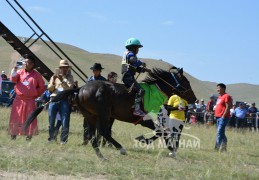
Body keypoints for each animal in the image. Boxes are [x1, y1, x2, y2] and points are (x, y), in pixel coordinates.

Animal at [24, 66, 196, 159]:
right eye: (186, 82)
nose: (194, 99)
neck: (156, 91)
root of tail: (80, 88)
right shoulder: (146, 119)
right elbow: (161, 132)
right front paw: (168, 149)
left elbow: (162, 131)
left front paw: (169, 149)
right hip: (103, 114)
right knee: (103, 132)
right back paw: (121, 148)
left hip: (91, 115)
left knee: (93, 135)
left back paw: (101, 155)